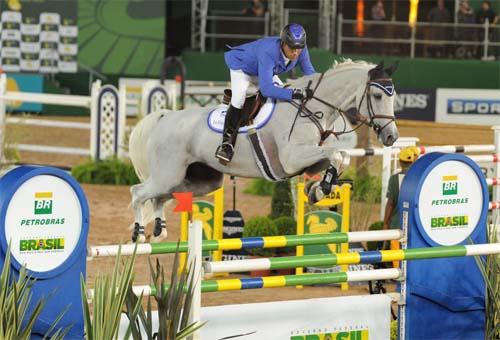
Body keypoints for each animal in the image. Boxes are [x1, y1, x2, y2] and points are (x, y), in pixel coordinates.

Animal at [128, 59, 398, 243]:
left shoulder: (308, 159)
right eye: (376, 95)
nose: (391, 136)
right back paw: (139, 234)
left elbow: (339, 157)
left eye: (393, 97)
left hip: (201, 181)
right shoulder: (292, 159)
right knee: (138, 192)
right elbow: (337, 153)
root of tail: (164, 117)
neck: (310, 108)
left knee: (160, 196)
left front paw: (317, 190)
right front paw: (320, 189)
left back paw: (159, 231)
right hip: (168, 174)